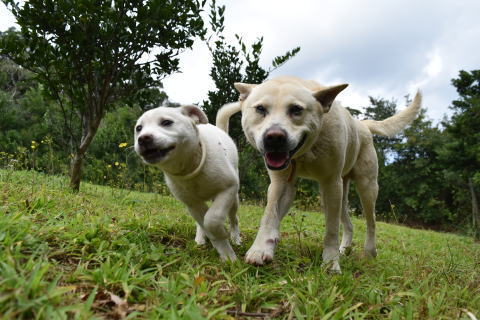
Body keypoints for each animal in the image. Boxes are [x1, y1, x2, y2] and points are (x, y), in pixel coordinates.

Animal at [134, 106, 240, 262]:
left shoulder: (229, 188)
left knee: (233, 219)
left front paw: (226, 244)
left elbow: (212, 219)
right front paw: (226, 253)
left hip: (234, 200)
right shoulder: (191, 203)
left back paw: (235, 237)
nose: (143, 138)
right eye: (139, 128)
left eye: (166, 122)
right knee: (201, 221)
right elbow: (207, 224)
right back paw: (200, 238)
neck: (190, 166)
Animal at [216, 76, 422, 272]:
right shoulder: (282, 183)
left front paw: (331, 264)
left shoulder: (330, 183)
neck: (305, 152)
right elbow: (269, 215)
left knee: (371, 222)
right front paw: (261, 249)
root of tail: (362, 124)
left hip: (366, 187)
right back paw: (344, 249)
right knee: (349, 224)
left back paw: (369, 252)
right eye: (260, 109)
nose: (274, 137)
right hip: (342, 191)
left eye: (296, 109)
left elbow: (331, 230)